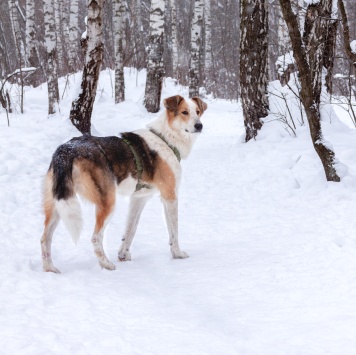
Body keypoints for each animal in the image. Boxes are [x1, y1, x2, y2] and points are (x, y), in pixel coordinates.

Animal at [40, 94, 207, 272]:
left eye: (198, 112)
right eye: (184, 112)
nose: (199, 125)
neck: (166, 138)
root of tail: (66, 149)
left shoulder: (139, 198)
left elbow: (130, 230)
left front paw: (123, 255)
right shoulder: (170, 196)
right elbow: (174, 230)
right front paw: (177, 254)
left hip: (59, 203)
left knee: (45, 238)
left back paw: (50, 269)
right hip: (107, 201)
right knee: (95, 237)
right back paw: (106, 264)